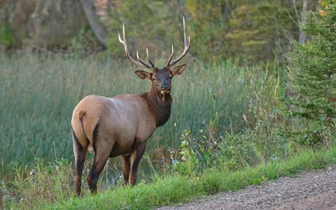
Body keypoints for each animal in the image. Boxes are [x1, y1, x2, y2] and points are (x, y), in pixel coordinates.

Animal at [71, 16, 190, 195]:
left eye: (170, 76)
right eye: (153, 78)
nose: (165, 86)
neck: (153, 113)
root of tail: (81, 112)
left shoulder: (124, 149)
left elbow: (125, 178)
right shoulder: (141, 139)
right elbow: (133, 177)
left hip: (77, 141)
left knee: (77, 177)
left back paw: (78, 197)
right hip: (104, 142)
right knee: (91, 177)